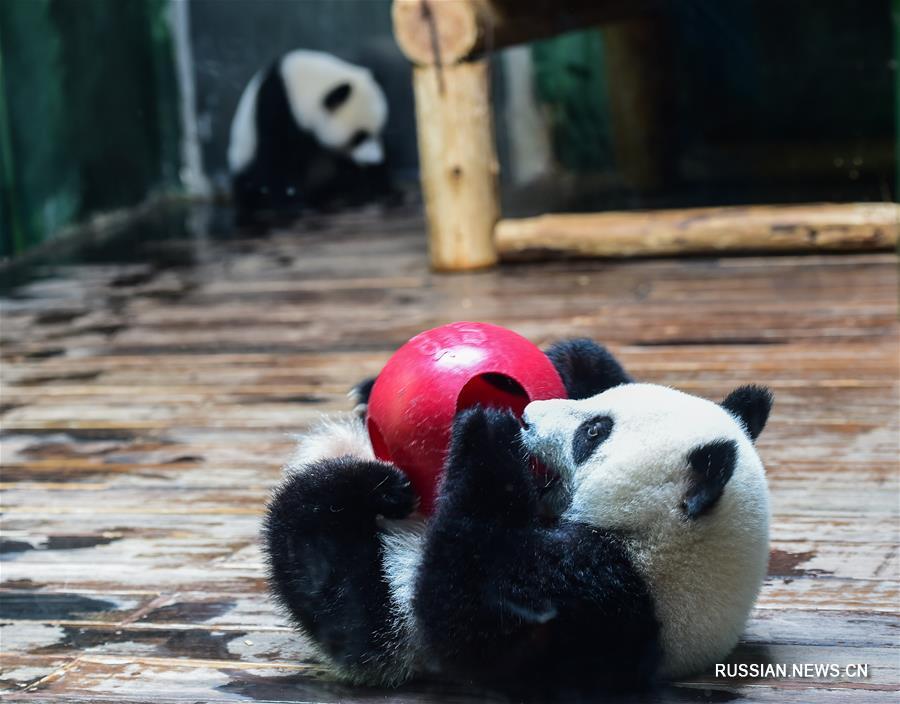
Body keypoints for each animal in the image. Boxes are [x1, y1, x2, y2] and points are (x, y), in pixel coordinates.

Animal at [227, 50, 392, 223]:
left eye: (378, 132)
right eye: (359, 137)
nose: (374, 161)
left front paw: (379, 187)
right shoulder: (275, 106)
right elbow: (275, 155)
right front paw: (290, 205)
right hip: (244, 158)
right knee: (248, 184)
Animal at [262, 340, 772, 700]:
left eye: (592, 433)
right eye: (598, 410)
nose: (528, 415)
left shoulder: (603, 595)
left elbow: (464, 616)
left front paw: (487, 428)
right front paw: (568, 361)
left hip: (378, 615)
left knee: (329, 578)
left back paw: (351, 487)